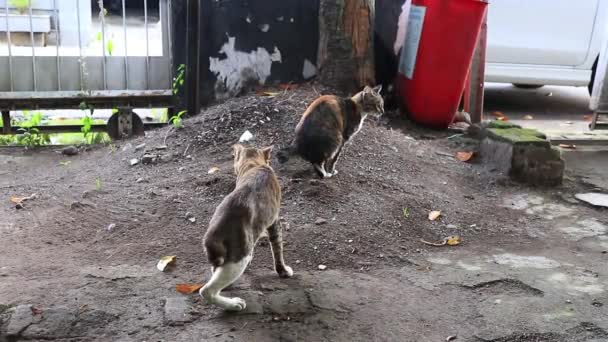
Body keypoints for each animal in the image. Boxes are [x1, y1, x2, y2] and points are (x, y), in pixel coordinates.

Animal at [201, 143, 294, 312]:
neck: (254, 164)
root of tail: (213, 232)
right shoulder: (274, 222)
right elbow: (278, 250)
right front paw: (283, 271)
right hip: (238, 258)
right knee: (206, 290)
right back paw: (233, 304)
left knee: (215, 273)